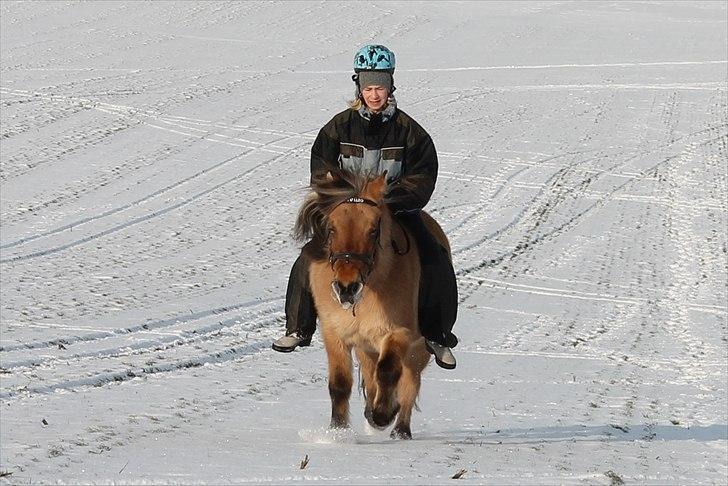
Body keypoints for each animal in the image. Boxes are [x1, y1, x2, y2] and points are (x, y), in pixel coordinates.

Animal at [292, 169, 452, 438]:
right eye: (332, 228)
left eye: (373, 230)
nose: (346, 287)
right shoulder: (335, 333)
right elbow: (340, 383)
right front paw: (338, 431)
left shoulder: (399, 333)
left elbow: (388, 372)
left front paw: (383, 415)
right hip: (365, 347)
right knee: (371, 375)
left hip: (418, 351)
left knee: (409, 384)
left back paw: (400, 429)